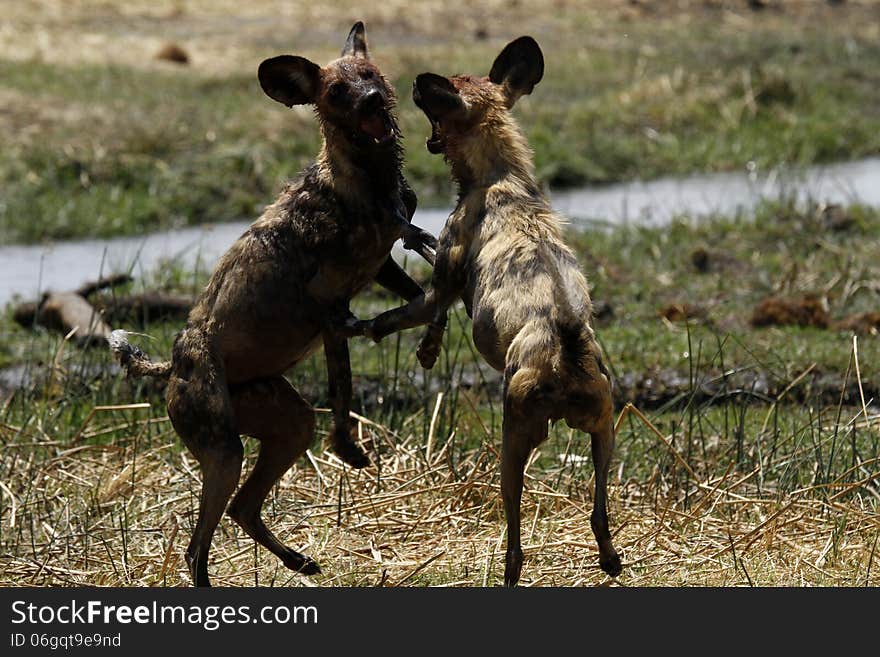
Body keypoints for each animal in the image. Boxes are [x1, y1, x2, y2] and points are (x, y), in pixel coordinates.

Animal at [108, 21, 434, 584]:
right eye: (336, 92)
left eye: (370, 75)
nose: (372, 99)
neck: (367, 181)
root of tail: (173, 364)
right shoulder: (328, 305)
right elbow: (344, 387)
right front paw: (347, 448)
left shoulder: (383, 266)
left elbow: (424, 301)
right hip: (224, 453)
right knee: (197, 546)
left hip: (287, 426)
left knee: (243, 509)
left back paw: (298, 560)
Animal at [356, 38, 620, 588]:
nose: (413, 84)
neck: (503, 176)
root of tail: (565, 352)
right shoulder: (450, 285)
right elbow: (429, 285)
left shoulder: (443, 279)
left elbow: (407, 307)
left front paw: (372, 330)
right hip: (605, 432)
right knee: (599, 511)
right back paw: (609, 559)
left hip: (512, 441)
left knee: (515, 529)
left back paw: (508, 571)